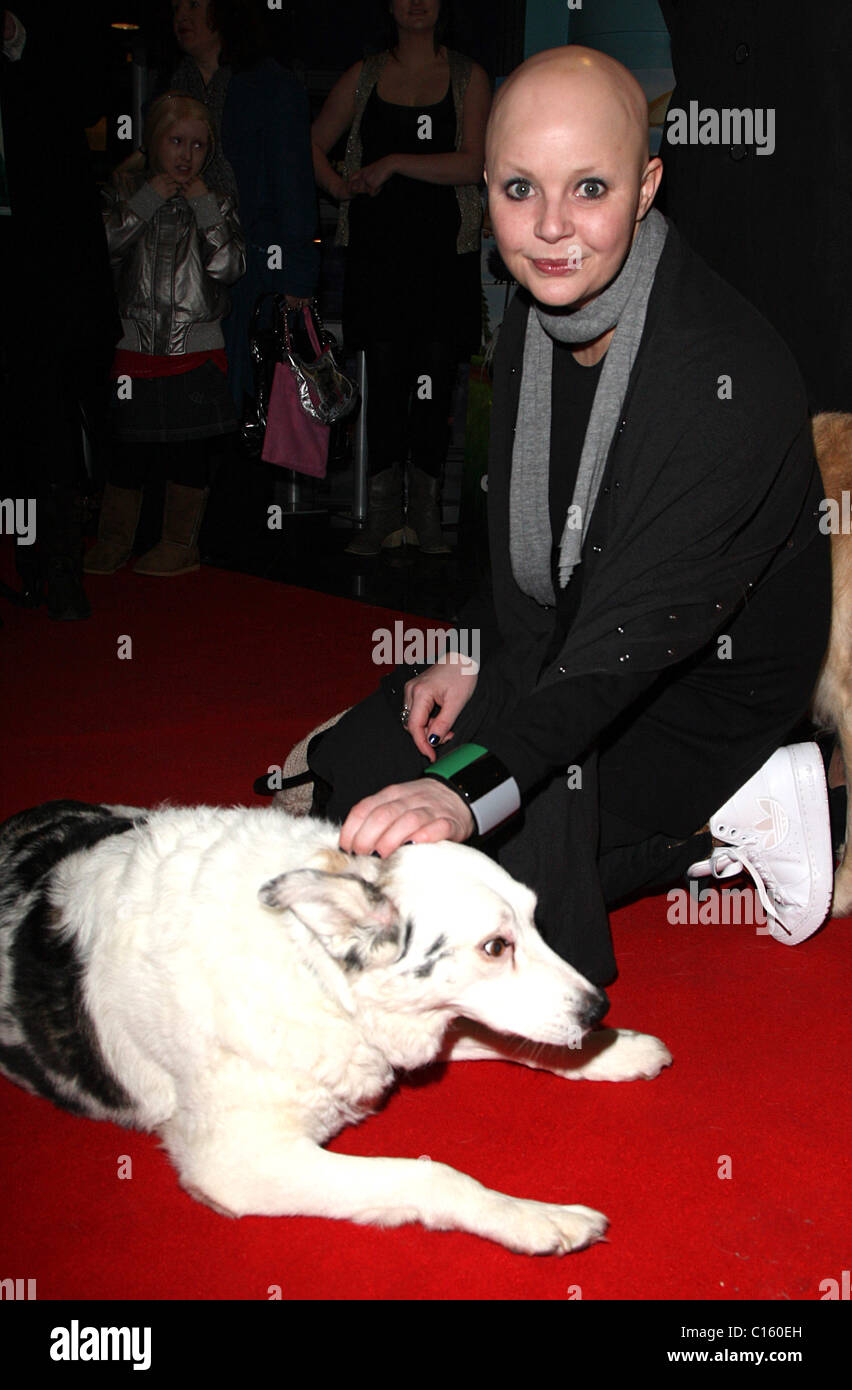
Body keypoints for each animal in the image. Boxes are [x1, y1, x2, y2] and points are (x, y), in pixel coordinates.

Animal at [0, 800, 669, 1256]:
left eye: (535, 920)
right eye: (495, 946)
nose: (597, 1009)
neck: (308, 963)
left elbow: (510, 1038)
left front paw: (610, 1052)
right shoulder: (234, 1161)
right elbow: (429, 1173)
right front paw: (533, 1216)